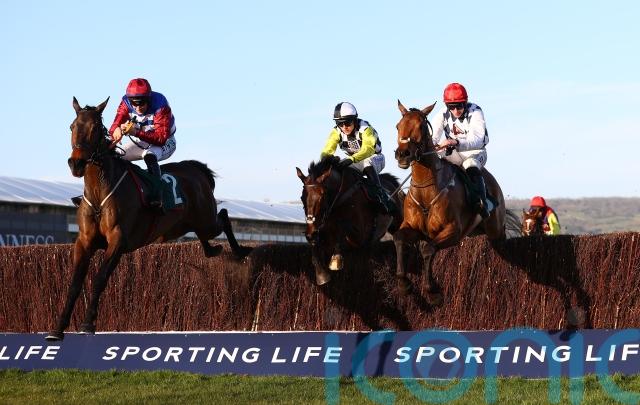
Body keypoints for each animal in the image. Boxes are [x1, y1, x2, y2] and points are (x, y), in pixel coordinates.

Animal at [46, 97, 249, 341]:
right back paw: (212, 250)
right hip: (183, 225)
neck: (100, 191)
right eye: (72, 127)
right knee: (206, 236)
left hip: (206, 220)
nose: (76, 164)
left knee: (223, 216)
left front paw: (88, 323)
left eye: (95, 128)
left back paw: (239, 252)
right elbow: (74, 284)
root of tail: (196, 169)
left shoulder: (118, 240)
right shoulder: (84, 241)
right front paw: (57, 328)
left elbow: (100, 278)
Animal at [296, 155, 404, 285]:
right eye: (302, 197)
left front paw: (336, 259)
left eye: (322, 197)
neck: (341, 197)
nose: (310, 233)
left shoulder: (360, 235)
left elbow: (343, 230)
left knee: (400, 240)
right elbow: (316, 245)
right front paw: (321, 275)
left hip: (397, 222)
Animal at [393, 100, 506, 301]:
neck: (426, 190)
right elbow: (399, 239)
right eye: (399, 126)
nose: (402, 154)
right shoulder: (412, 227)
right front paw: (403, 284)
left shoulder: (453, 231)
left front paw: (432, 290)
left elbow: (428, 249)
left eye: (421, 127)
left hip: (496, 229)